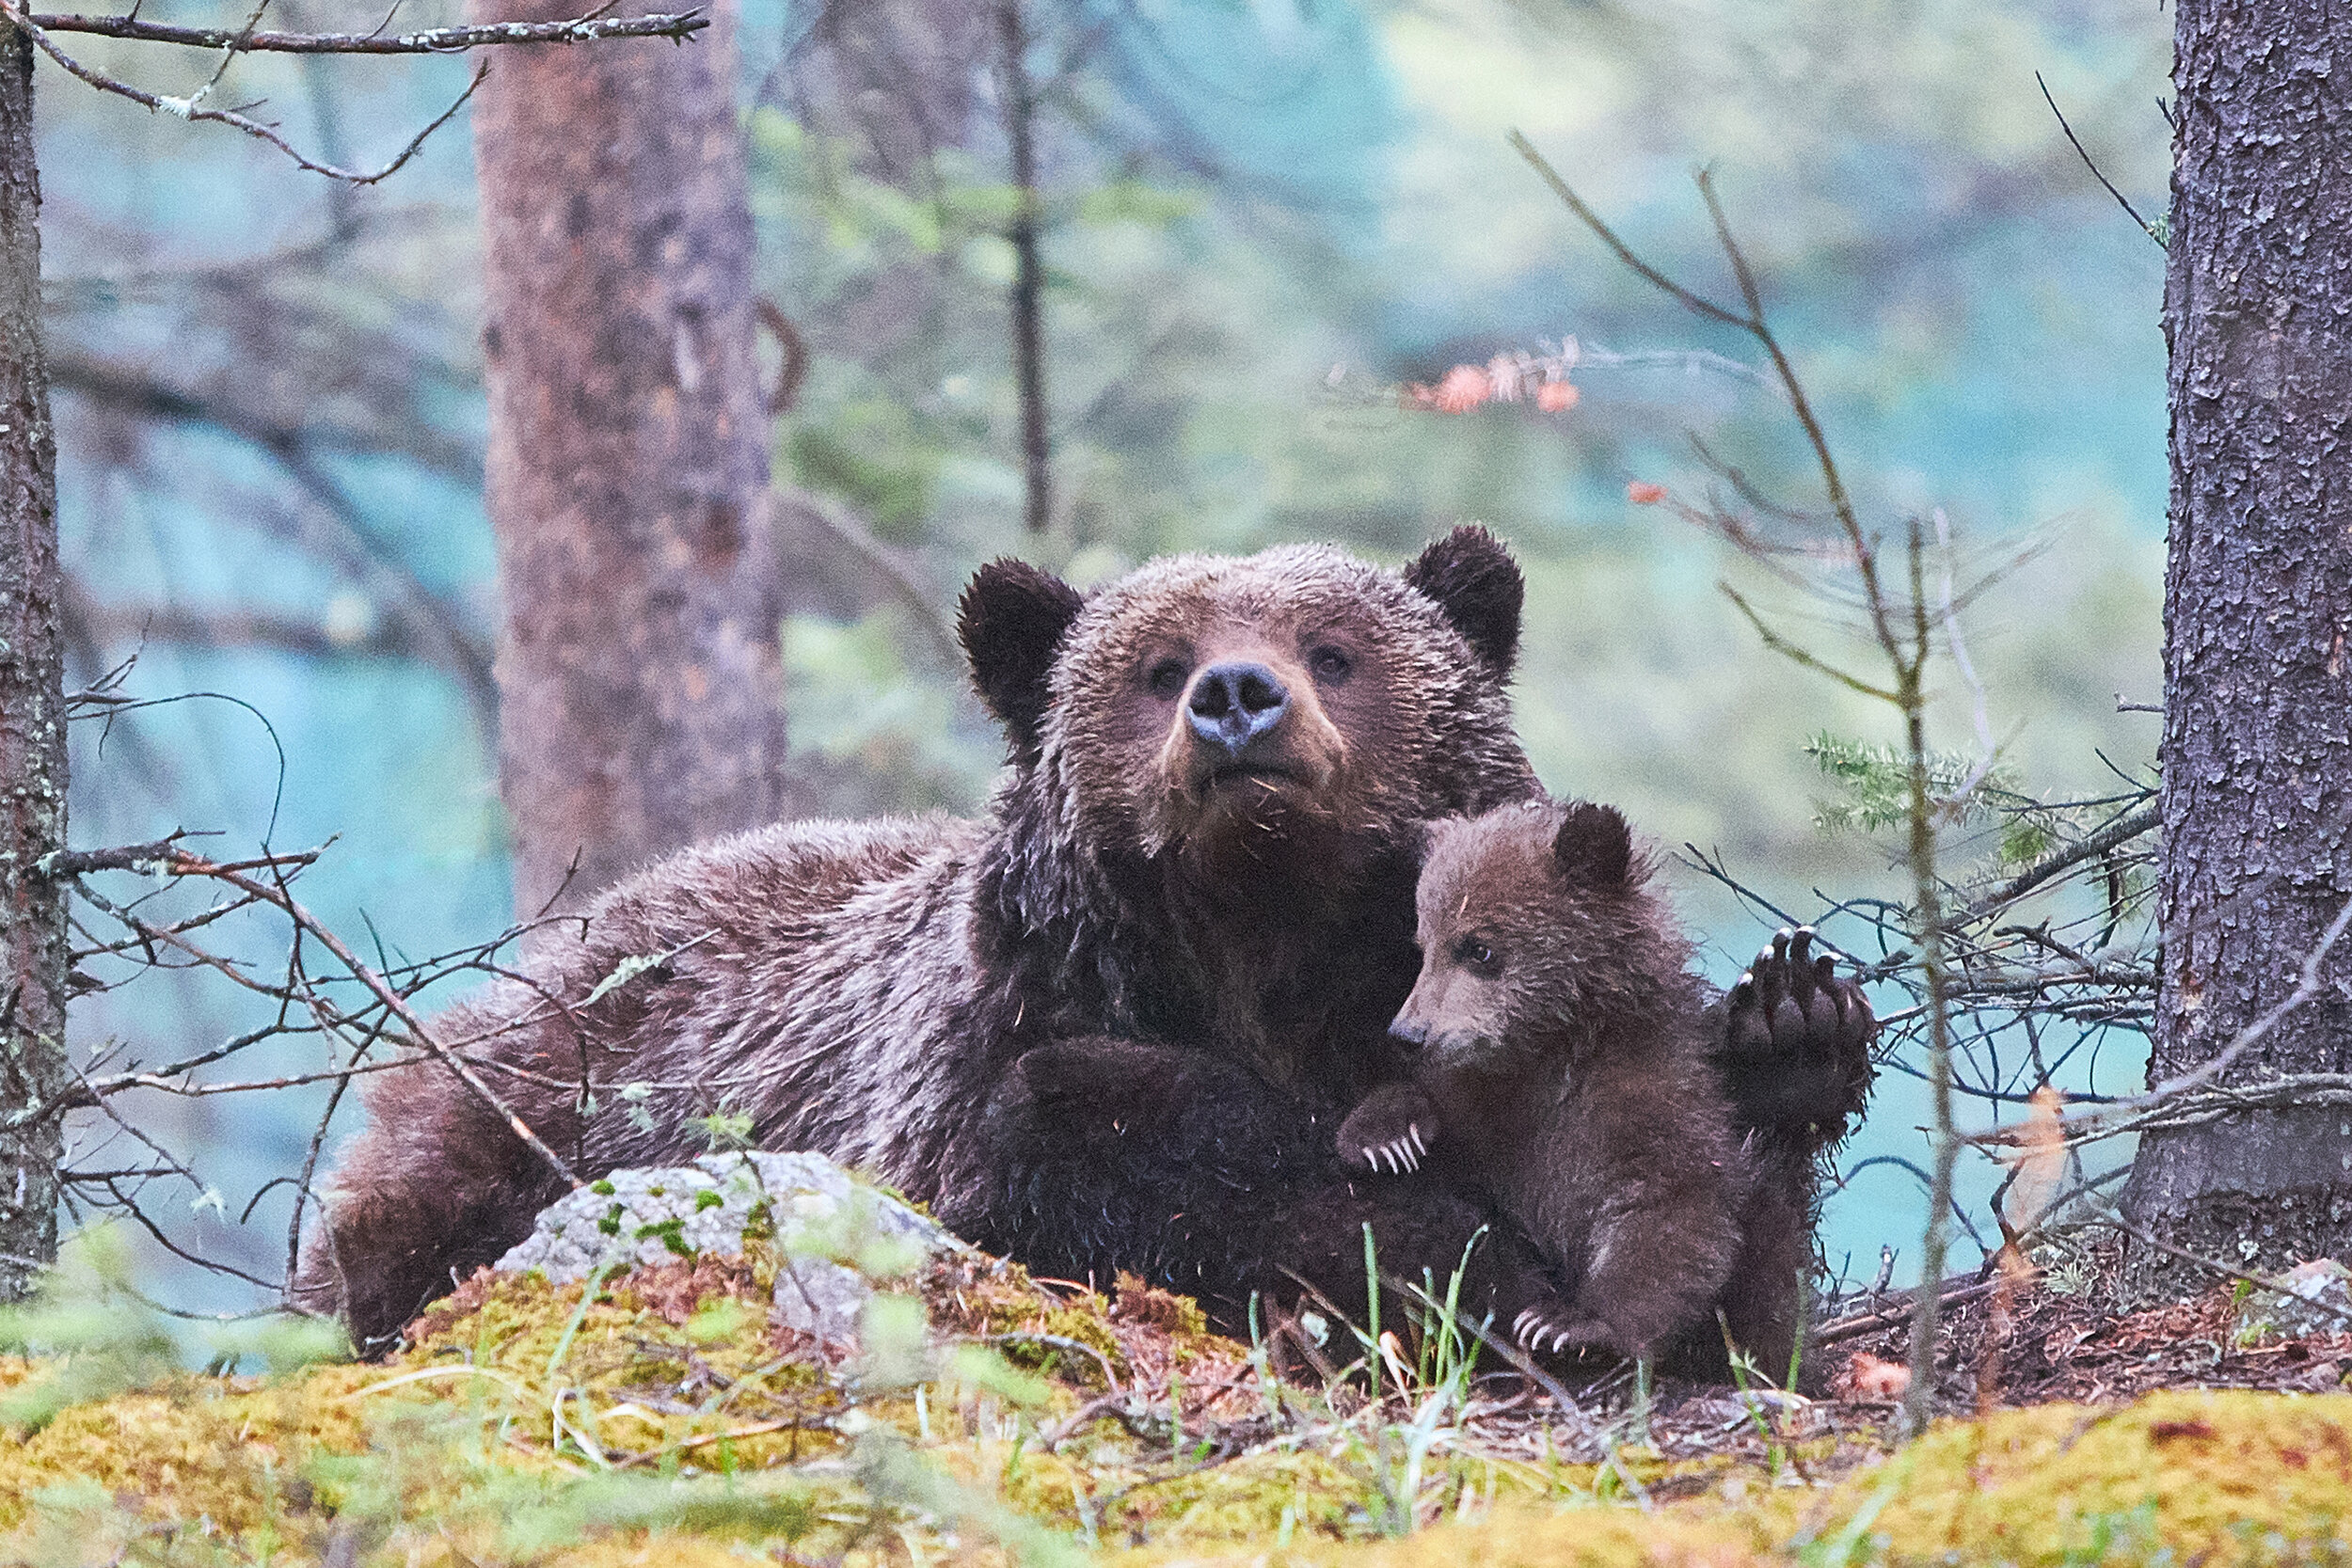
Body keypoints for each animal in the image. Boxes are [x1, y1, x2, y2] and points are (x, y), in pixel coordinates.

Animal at [303, 526, 1863, 1354]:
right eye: (1158, 666)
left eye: (1337, 647)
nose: (1237, 698)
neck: (1258, 955)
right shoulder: (984, 1061)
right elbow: (1140, 1146)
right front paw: (1450, 1249)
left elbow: (1684, 1205)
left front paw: (1789, 1027)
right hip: (522, 1109)